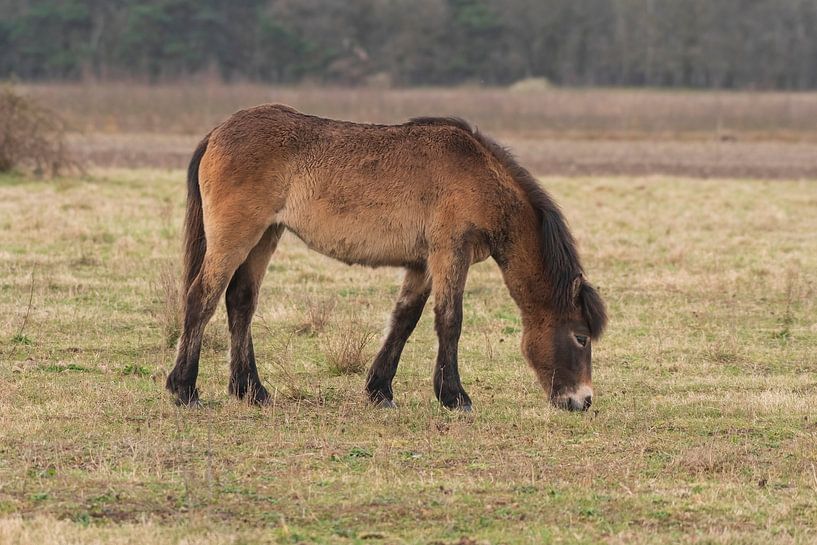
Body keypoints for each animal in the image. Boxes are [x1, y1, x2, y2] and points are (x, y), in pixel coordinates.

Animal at [166, 104, 607, 412]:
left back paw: (251, 391)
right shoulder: (451, 253)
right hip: (235, 236)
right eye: (580, 337)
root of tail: (217, 132)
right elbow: (450, 321)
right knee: (202, 297)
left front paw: (379, 390)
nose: (582, 401)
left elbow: (404, 320)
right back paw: (184, 389)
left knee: (240, 301)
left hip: (264, 237)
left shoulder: (423, 263)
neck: (480, 176)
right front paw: (455, 397)